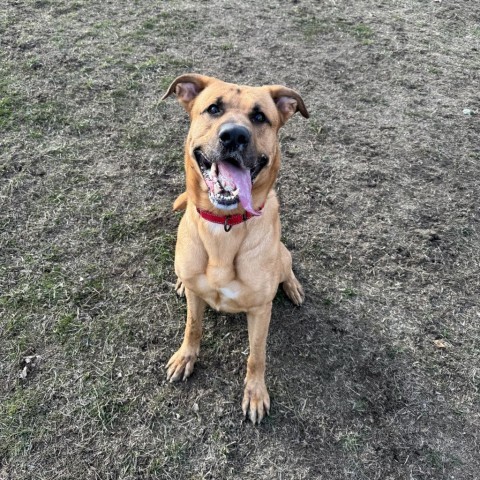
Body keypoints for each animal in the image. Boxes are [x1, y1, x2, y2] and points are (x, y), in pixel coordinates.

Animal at [163, 74, 310, 424]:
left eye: (259, 117)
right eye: (213, 109)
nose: (234, 135)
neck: (224, 227)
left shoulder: (259, 310)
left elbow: (257, 355)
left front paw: (255, 393)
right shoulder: (196, 299)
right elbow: (193, 327)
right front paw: (185, 358)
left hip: (283, 255)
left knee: (288, 266)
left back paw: (293, 287)